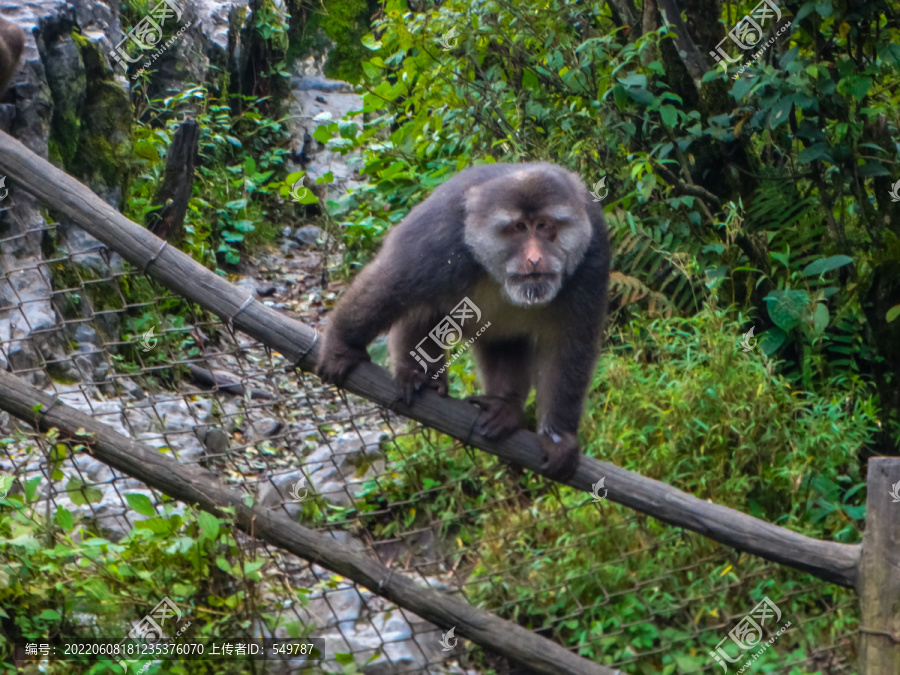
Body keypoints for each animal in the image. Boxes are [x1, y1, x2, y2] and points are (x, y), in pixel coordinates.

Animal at [318, 162, 612, 480]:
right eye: (519, 228)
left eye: (545, 226)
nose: (535, 258)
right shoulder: (442, 240)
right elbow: (391, 283)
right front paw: (340, 346)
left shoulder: (591, 255)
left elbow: (569, 344)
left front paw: (558, 437)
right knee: (421, 306)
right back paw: (418, 374)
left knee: (506, 342)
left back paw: (504, 406)